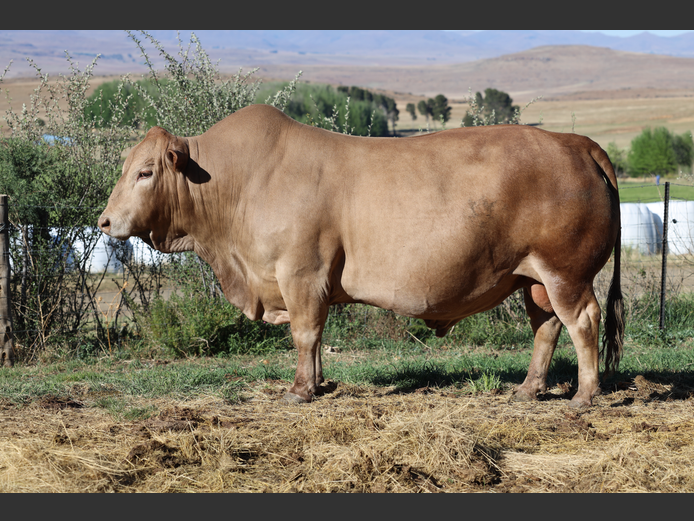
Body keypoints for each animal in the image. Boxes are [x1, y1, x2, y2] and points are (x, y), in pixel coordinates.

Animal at [98, 104, 624, 408]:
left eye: (145, 172)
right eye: (126, 168)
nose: (104, 222)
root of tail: (574, 143)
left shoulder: (300, 273)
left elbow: (305, 334)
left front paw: (299, 391)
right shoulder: (312, 283)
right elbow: (316, 337)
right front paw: (319, 383)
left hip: (566, 274)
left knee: (583, 320)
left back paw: (585, 394)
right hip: (533, 278)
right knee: (546, 327)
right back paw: (528, 389)